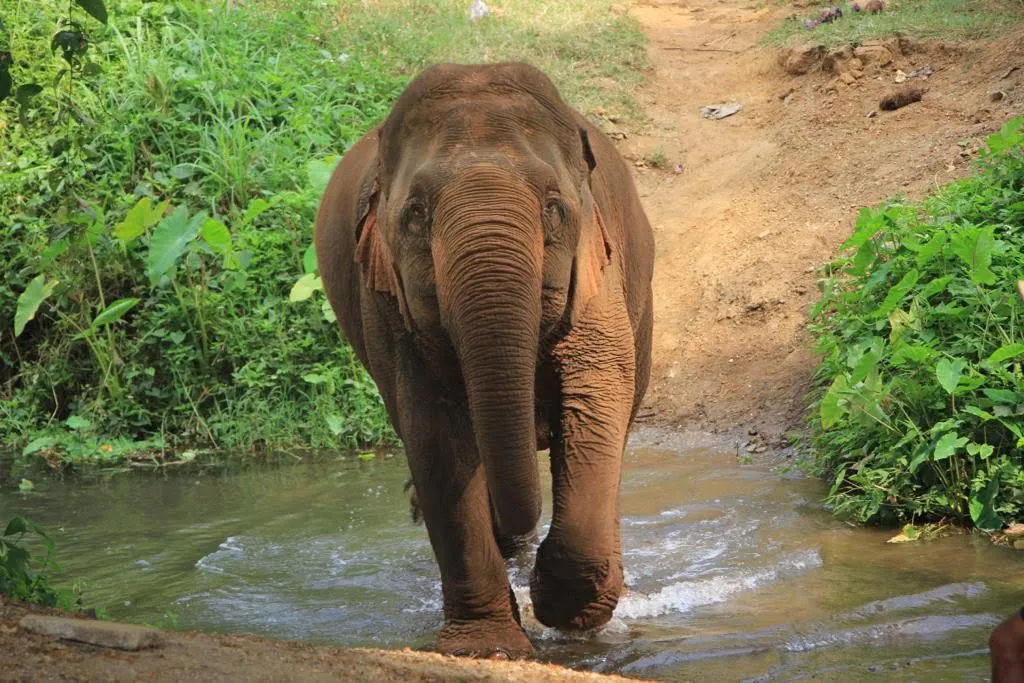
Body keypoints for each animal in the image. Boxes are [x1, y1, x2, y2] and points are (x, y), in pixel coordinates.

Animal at [314, 62, 654, 659]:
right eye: (416, 216)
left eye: (554, 209)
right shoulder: (386, 308)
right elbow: (436, 437)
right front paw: (486, 649)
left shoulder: (598, 279)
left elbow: (594, 398)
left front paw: (566, 613)